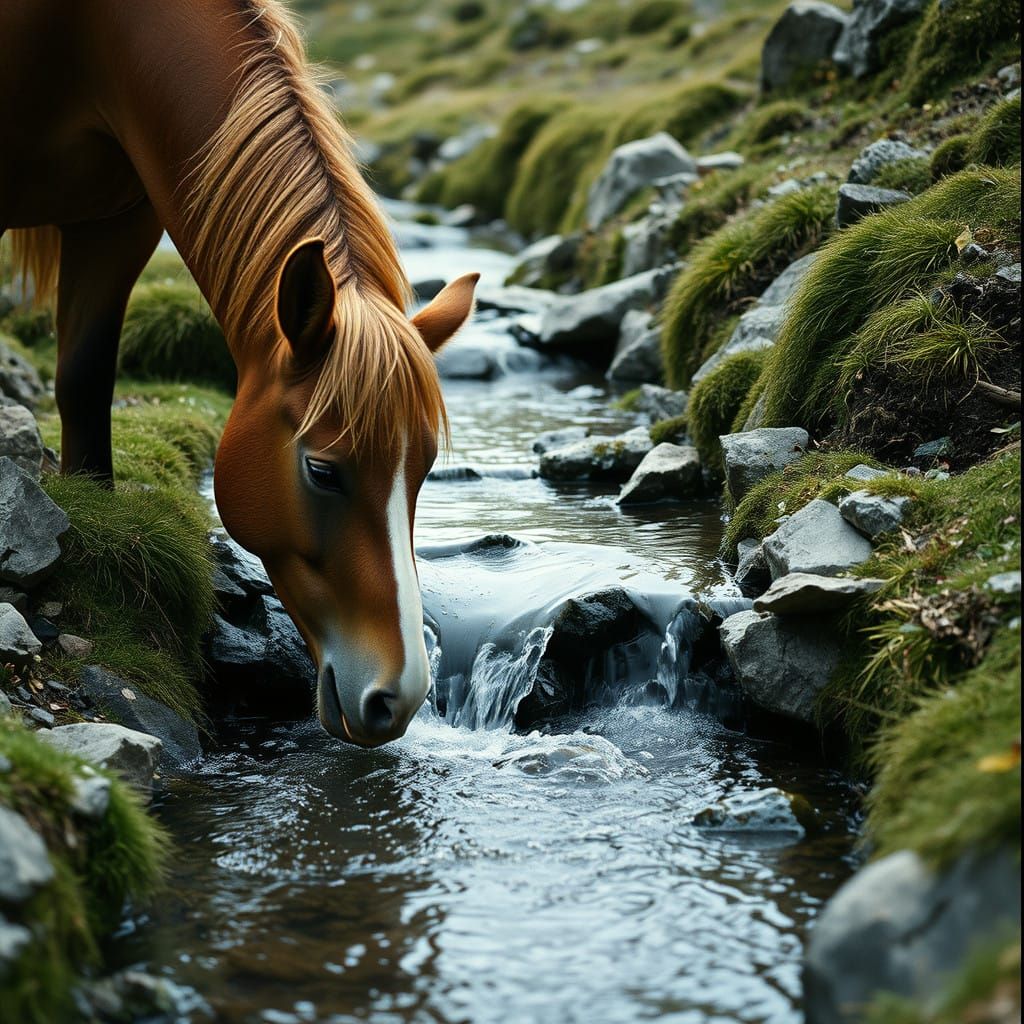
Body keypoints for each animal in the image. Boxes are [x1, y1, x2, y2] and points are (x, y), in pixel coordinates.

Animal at [0, 0, 478, 747]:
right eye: (322, 470)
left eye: (423, 470)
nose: (398, 698)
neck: (82, 33)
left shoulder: (120, 218)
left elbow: (85, 378)